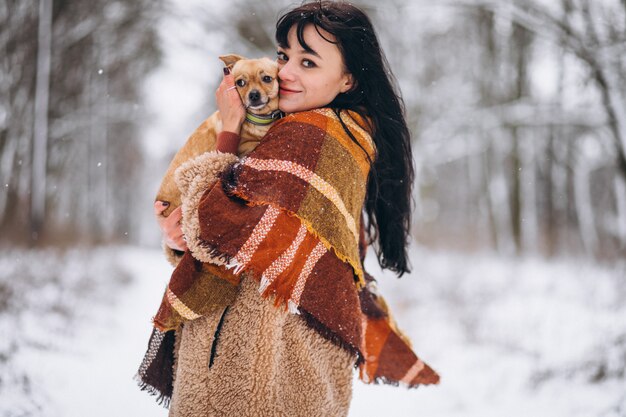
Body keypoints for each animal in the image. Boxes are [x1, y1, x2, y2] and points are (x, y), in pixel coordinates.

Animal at [156, 54, 280, 218]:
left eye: (267, 78)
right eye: (240, 83)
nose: (253, 95)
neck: (259, 119)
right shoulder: (243, 145)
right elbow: (254, 142)